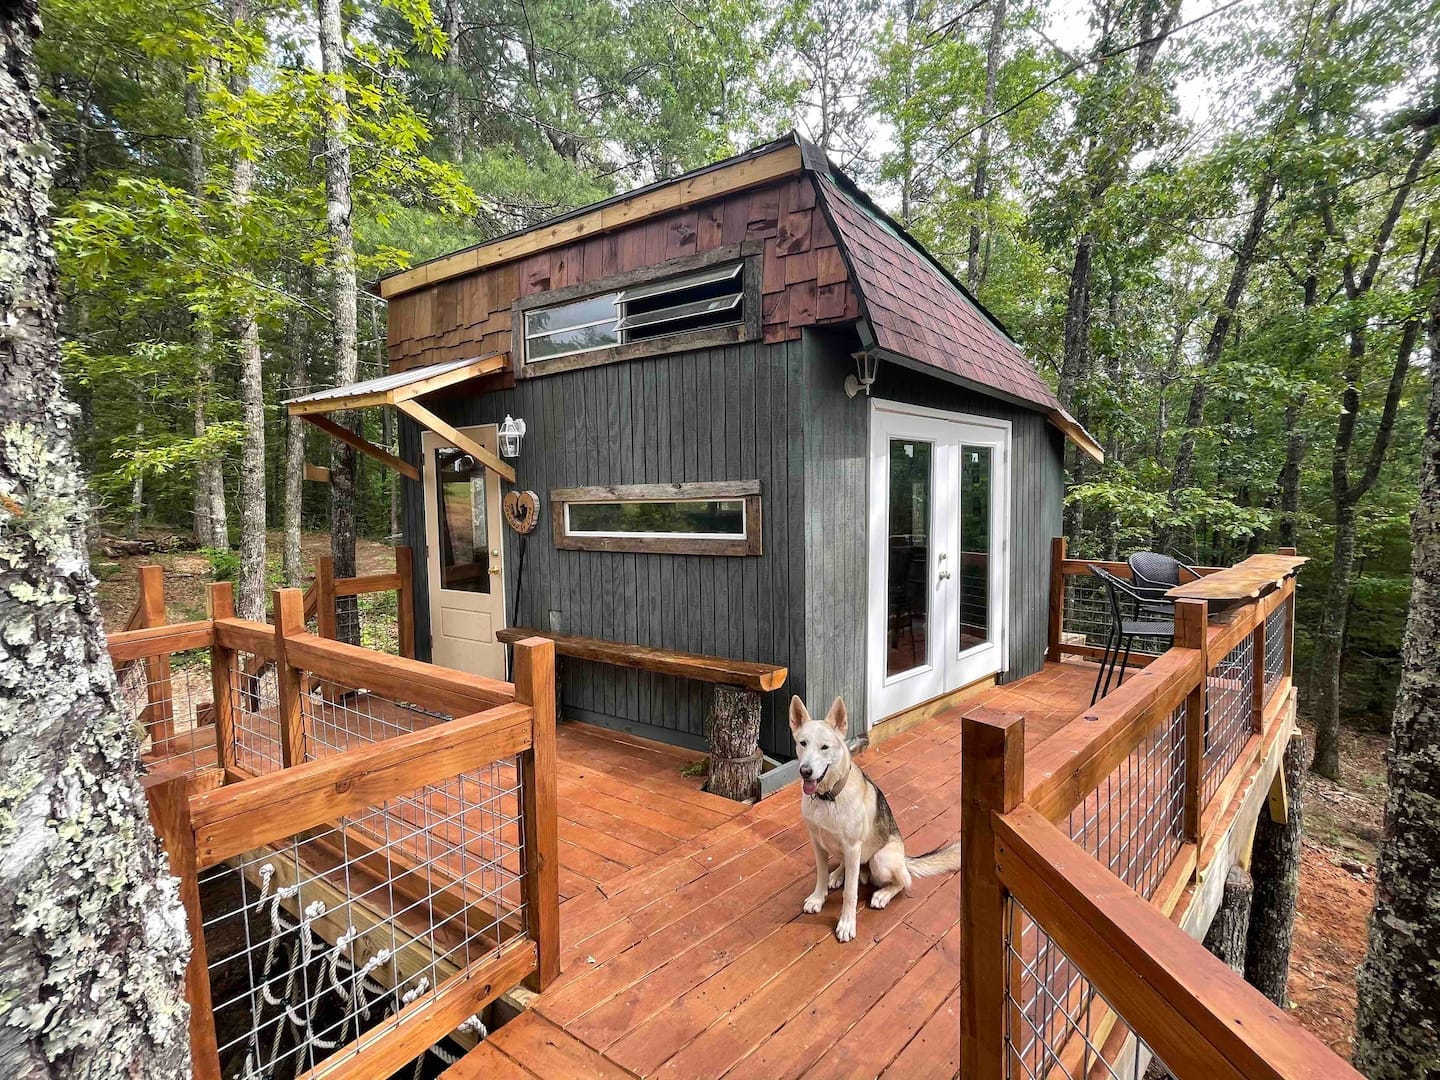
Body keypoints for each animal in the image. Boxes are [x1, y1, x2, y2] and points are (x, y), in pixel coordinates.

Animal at [794, 696, 961, 944]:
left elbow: (850, 893)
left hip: (880, 860)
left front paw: (846, 924)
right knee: (849, 868)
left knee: (904, 881)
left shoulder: (853, 847)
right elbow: (821, 875)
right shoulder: (818, 843)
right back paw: (838, 874)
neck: (829, 797)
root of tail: (904, 859)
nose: (805, 771)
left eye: (825, 747)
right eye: (802, 743)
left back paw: (882, 894)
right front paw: (818, 897)